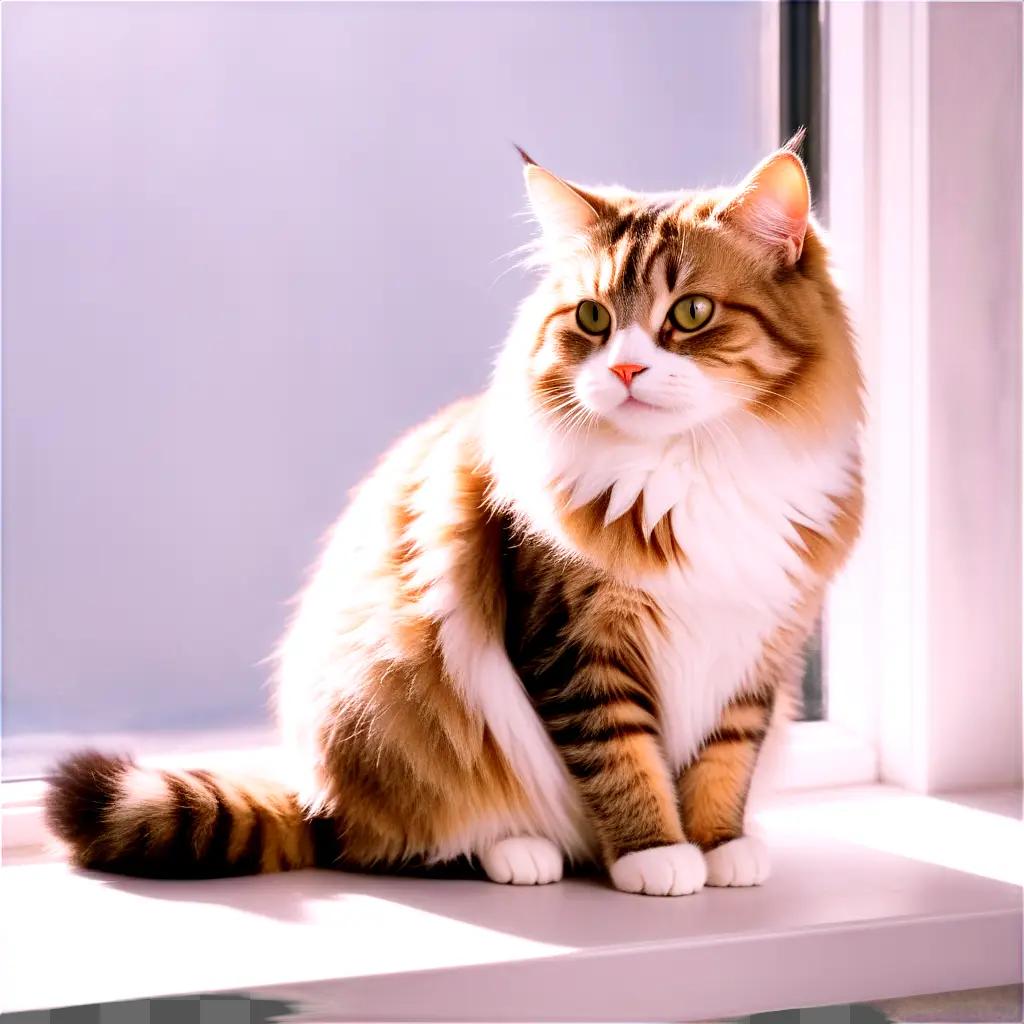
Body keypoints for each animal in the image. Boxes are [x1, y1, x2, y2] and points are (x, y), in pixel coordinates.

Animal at [48, 142, 864, 897]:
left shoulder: (761, 649)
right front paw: (657, 855)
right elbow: (622, 758)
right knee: (394, 844)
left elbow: (726, 759)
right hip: (401, 718)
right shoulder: (575, 641)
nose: (626, 370)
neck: (693, 467)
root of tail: (315, 796)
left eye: (691, 313)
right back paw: (519, 853)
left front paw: (721, 846)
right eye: (593, 318)